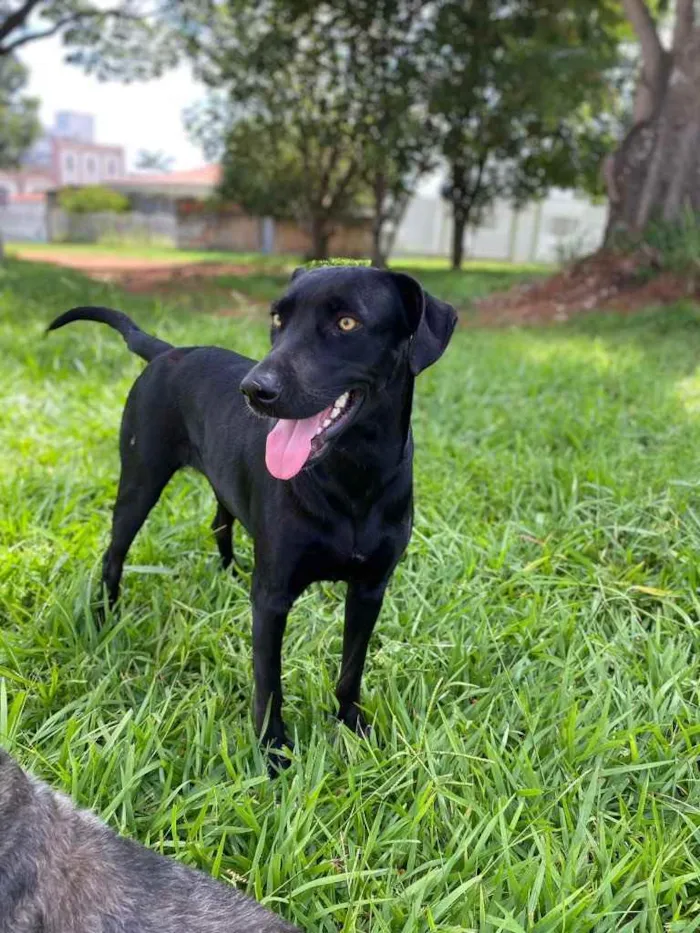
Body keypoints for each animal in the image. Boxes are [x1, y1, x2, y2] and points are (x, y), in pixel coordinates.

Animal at [46, 262, 456, 764]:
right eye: (278, 319)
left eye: (347, 323)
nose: (255, 390)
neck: (353, 478)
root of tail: (167, 351)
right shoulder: (273, 597)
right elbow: (269, 682)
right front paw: (273, 751)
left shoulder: (370, 589)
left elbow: (351, 670)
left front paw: (353, 727)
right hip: (140, 481)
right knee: (114, 554)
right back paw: (104, 618)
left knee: (219, 523)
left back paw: (229, 574)